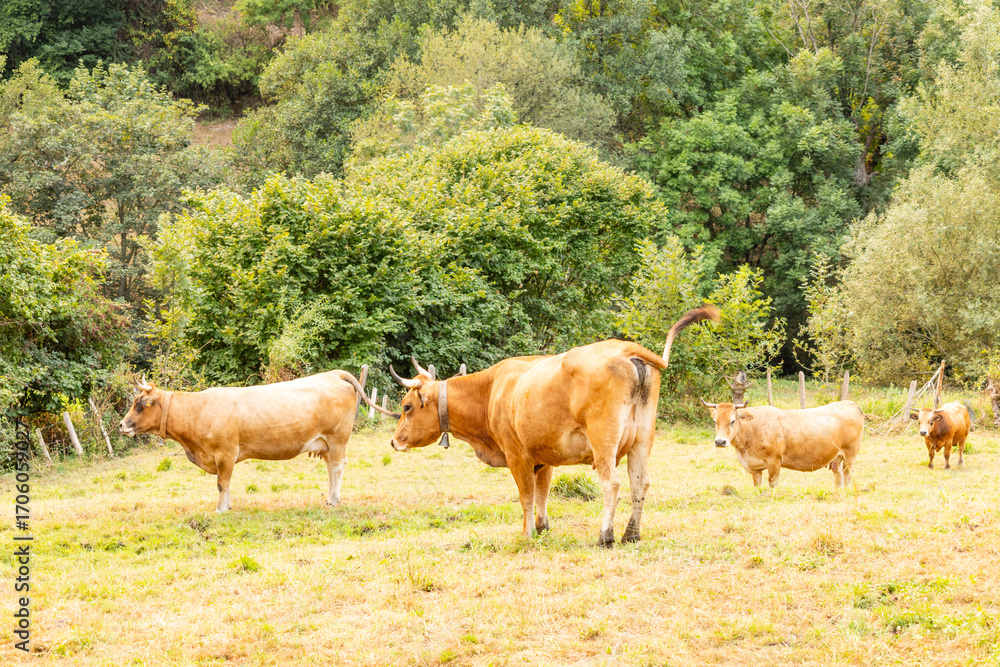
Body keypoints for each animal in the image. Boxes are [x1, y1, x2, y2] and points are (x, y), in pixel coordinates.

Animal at [118, 370, 378, 511]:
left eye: (140, 404)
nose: (122, 425)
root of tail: (333, 374)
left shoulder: (225, 453)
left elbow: (222, 483)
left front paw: (221, 509)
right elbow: (226, 484)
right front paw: (228, 505)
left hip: (338, 439)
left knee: (337, 468)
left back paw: (333, 500)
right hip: (325, 444)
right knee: (331, 469)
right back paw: (330, 499)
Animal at [376, 306, 720, 546]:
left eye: (406, 407)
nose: (394, 441)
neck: (492, 390)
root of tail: (624, 348)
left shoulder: (517, 456)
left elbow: (526, 495)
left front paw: (527, 532)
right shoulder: (545, 456)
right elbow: (542, 492)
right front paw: (542, 527)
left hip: (604, 441)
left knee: (612, 485)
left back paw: (606, 535)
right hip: (642, 440)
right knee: (641, 484)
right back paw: (630, 534)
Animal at [701, 400, 864, 490]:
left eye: (732, 421)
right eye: (715, 421)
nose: (720, 441)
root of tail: (848, 403)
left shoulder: (775, 461)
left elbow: (772, 483)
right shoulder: (754, 467)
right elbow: (757, 484)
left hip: (850, 455)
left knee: (848, 476)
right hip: (837, 458)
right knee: (839, 476)